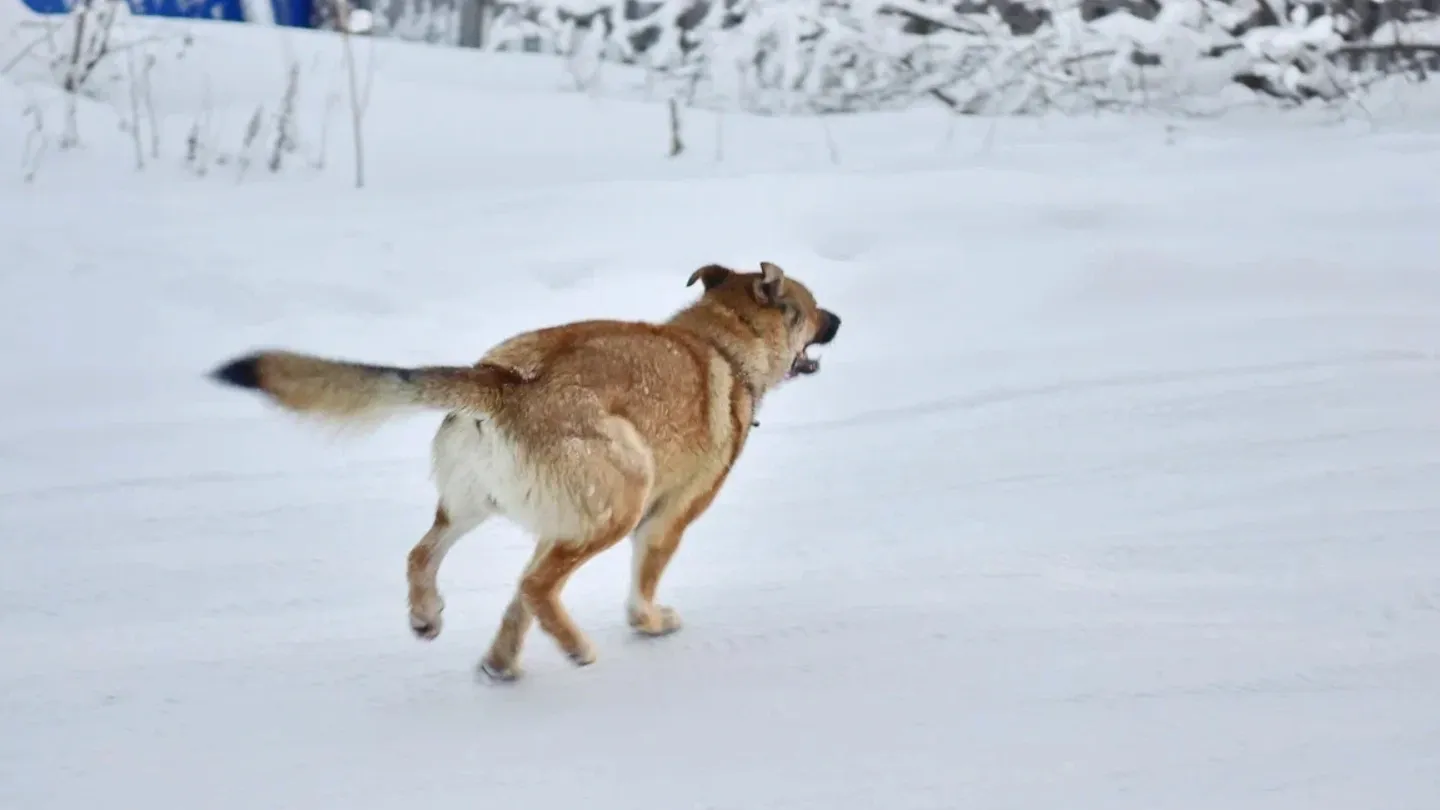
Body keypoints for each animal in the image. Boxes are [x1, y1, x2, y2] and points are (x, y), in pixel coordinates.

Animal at [213, 257, 840, 674]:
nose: (837, 319)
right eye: (811, 310)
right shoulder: (665, 520)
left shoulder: (556, 524)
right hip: (623, 500)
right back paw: (577, 648)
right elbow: (635, 591)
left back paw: (430, 617)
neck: (725, 347)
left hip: (477, 505)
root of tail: (504, 381)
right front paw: (651, 623)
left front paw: (500, 659)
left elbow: (514, 599)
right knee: (539, 585)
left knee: (430, 556)